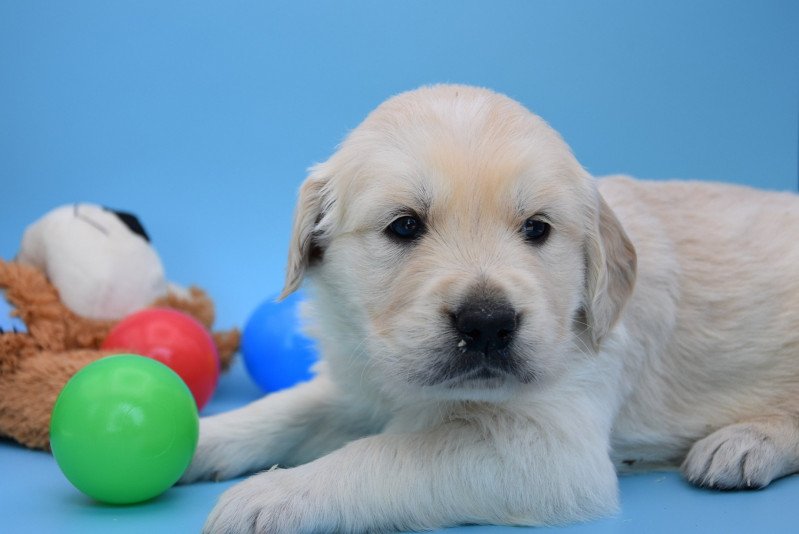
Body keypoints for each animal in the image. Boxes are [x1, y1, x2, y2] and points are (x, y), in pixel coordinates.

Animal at [181, 86, 799, 532]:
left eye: (537, 229)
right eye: (404, 226)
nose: (487, 324)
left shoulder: (549, 452)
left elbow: (389, 454)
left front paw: (274, 493)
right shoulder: (360, 381)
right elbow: (286, 409)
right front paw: (198, 439)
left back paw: (744, 444)